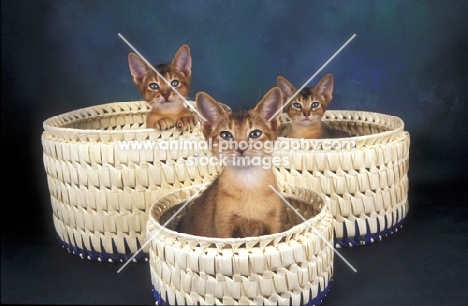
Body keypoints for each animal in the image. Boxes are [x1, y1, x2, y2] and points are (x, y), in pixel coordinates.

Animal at [176, 87, 284, 238]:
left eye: (255, 134)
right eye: (226, 135)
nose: (241, 148)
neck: (248, 183)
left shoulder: (275, 225)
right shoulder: (223, 230)